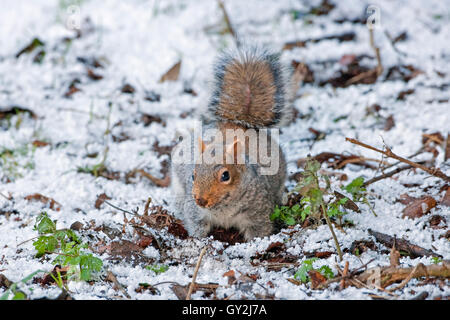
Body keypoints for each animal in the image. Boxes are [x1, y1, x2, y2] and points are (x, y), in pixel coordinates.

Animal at [170, 47, 292, 240]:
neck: (222, 209)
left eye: (225, 176)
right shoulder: (196, 212)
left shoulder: (258, 211)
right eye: (193, 175)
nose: (200, 200)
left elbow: (259, 231)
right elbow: (196, 226)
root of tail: (236, 126)